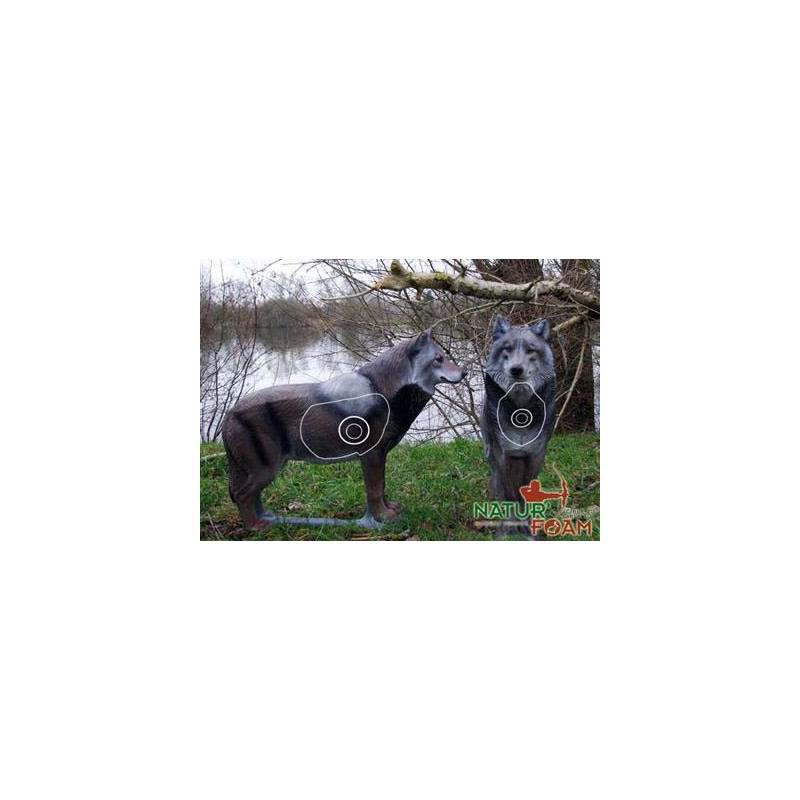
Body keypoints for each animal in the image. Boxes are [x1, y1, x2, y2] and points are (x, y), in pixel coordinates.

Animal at [222, 329, 464, 530]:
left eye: (444, 356)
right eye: (439, 359)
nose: (464, 373)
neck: (384, 391)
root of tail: (230, 413)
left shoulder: (381, 455)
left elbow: (382, 487)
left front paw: (390, 512)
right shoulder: (371, 455)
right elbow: (374, 491)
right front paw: (382, 519)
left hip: (267, 469)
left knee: (251, 496)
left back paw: (267, 518)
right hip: (266, 470)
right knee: (242, 495)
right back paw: (255, 527)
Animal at [479, 315, 556, 539]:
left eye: (531, 350)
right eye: (507, 348)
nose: (516, 369)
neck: (521, 410)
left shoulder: (536, 454)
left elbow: (525, 493)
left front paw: (528, 525)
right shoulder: (503, 453)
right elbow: (511, 494)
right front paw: (511, 525)